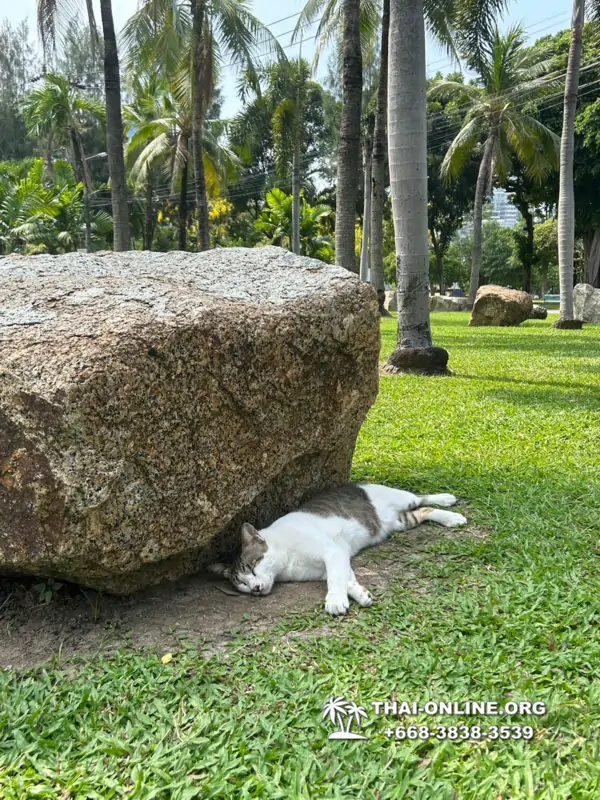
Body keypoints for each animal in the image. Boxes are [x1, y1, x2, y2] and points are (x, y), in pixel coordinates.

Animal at [211, 482, 468, 620]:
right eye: (241, 583)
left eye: (254, 567)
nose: (254, 588)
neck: (287, 560)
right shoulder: (334, 561)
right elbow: (346, 578)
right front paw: (359, 594)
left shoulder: (332, 552)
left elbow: (335, 580)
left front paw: (335, 600)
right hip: (400, 522)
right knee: (423, 511)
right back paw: (448, 517)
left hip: (402, 498)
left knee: (422, 498)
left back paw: (447, 503)